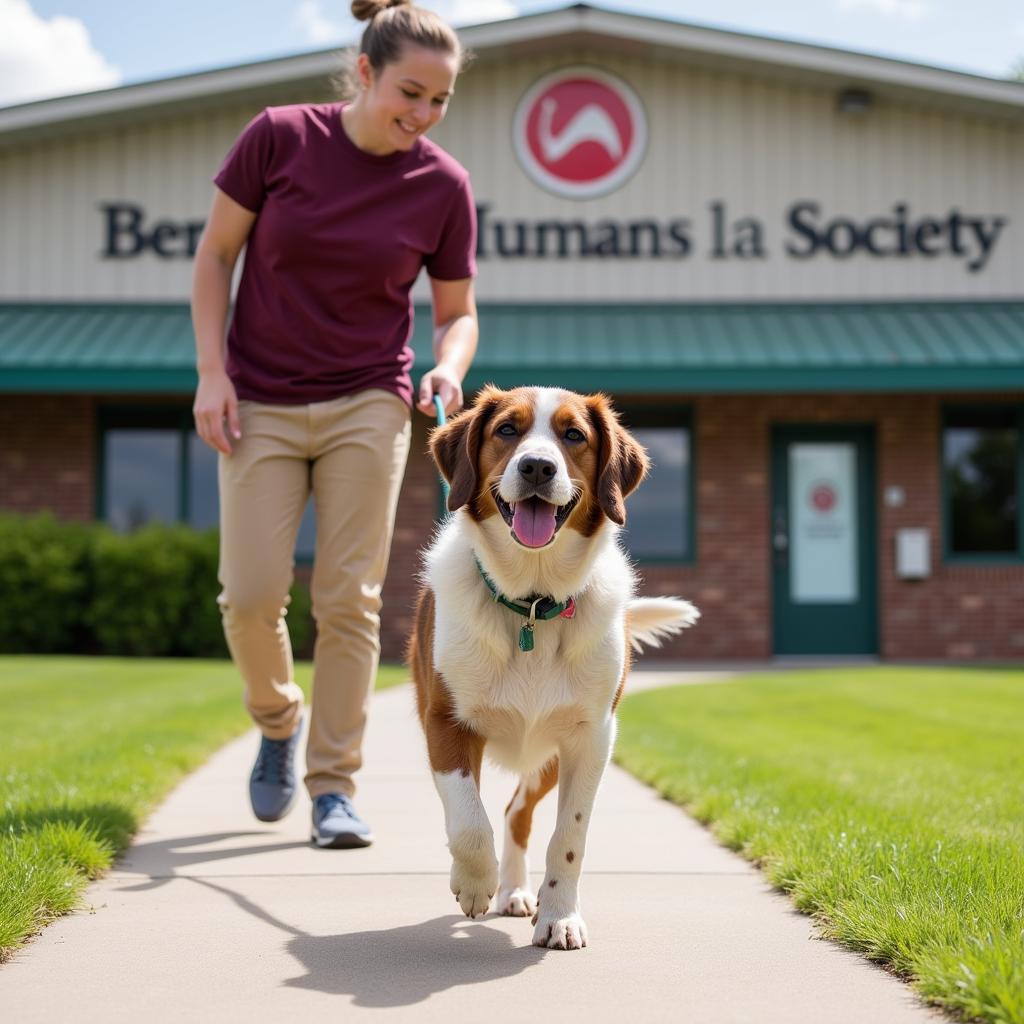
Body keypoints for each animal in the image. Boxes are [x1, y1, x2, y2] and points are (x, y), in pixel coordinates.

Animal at [405, 385, 696, 950]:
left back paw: (520, 892)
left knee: (517, 813)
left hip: (548, 759)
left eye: (574, 435)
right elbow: (467, 819)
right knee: (491, 813)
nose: (537, 467)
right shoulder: (445, 724)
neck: (532, 602)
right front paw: (474, 881)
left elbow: (569, 836)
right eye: (506, 430)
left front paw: (559, 915)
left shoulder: (591, 737)